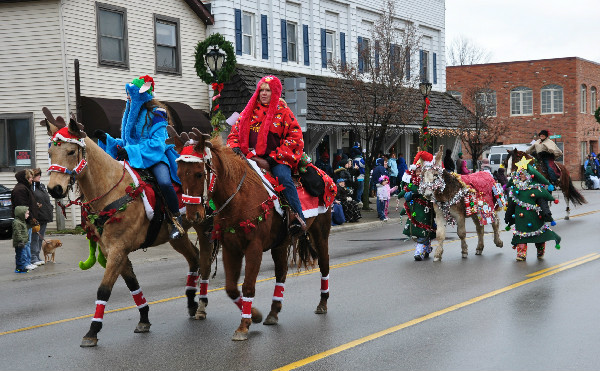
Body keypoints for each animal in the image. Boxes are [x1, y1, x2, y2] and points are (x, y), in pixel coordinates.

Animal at [39, 108, 214, 348]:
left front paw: (92, 330)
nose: (54, 189)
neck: (113, 191)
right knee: (194, 257)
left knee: (204, 260)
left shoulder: (118, 250)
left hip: (204, 226)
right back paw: (191, 302)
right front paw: (144, 319)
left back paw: (202, 304)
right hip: (177, 237)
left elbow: (104, 289)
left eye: (72, 151)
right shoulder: (112, 250)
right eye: (49, 152)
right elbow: (132, 284)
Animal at [168, 129, 332, 342]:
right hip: (281, 243)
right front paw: (253, 315)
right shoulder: (230, 247)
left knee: (324, 265)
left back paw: (322, 303)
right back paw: (273, 312)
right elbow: (231, 288)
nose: (193, 215)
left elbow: (247, 286)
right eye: (179, 174)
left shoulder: (254, 247)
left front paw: (243, 326)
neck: (239, 197)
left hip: (320, 233)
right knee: (281, 273)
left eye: (199, 173)